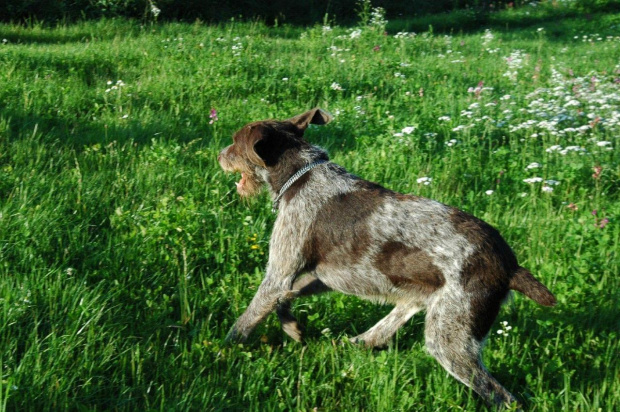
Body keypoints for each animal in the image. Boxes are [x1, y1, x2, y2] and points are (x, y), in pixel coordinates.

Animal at [218, 108, 556, 408]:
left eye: (235, 141)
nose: (219, 154)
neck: (300, 175)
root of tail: (510, 266)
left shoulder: (279, 274)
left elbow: (249, 318)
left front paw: (223, 350)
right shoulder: (327, 276)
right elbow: (288, 297)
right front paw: (292, 328)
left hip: (450, 339)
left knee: (502, 396)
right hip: (426, 299)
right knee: (385, 328)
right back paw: (356, 342)